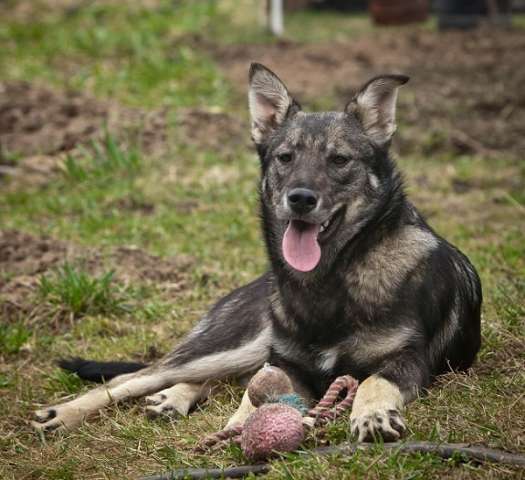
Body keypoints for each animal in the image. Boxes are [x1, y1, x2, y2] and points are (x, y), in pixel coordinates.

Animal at [32, 63, 482, 442]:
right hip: (237, 342)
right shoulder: (284, 363)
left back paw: (174, 397)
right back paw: (65, 413)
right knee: (139, 377)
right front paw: (242, 424)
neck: (330, 279)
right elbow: (255, 392)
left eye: (340, 160)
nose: (300, 199)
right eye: (285, 157)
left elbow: (374, 380)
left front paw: (371, 415)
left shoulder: (409, 360)